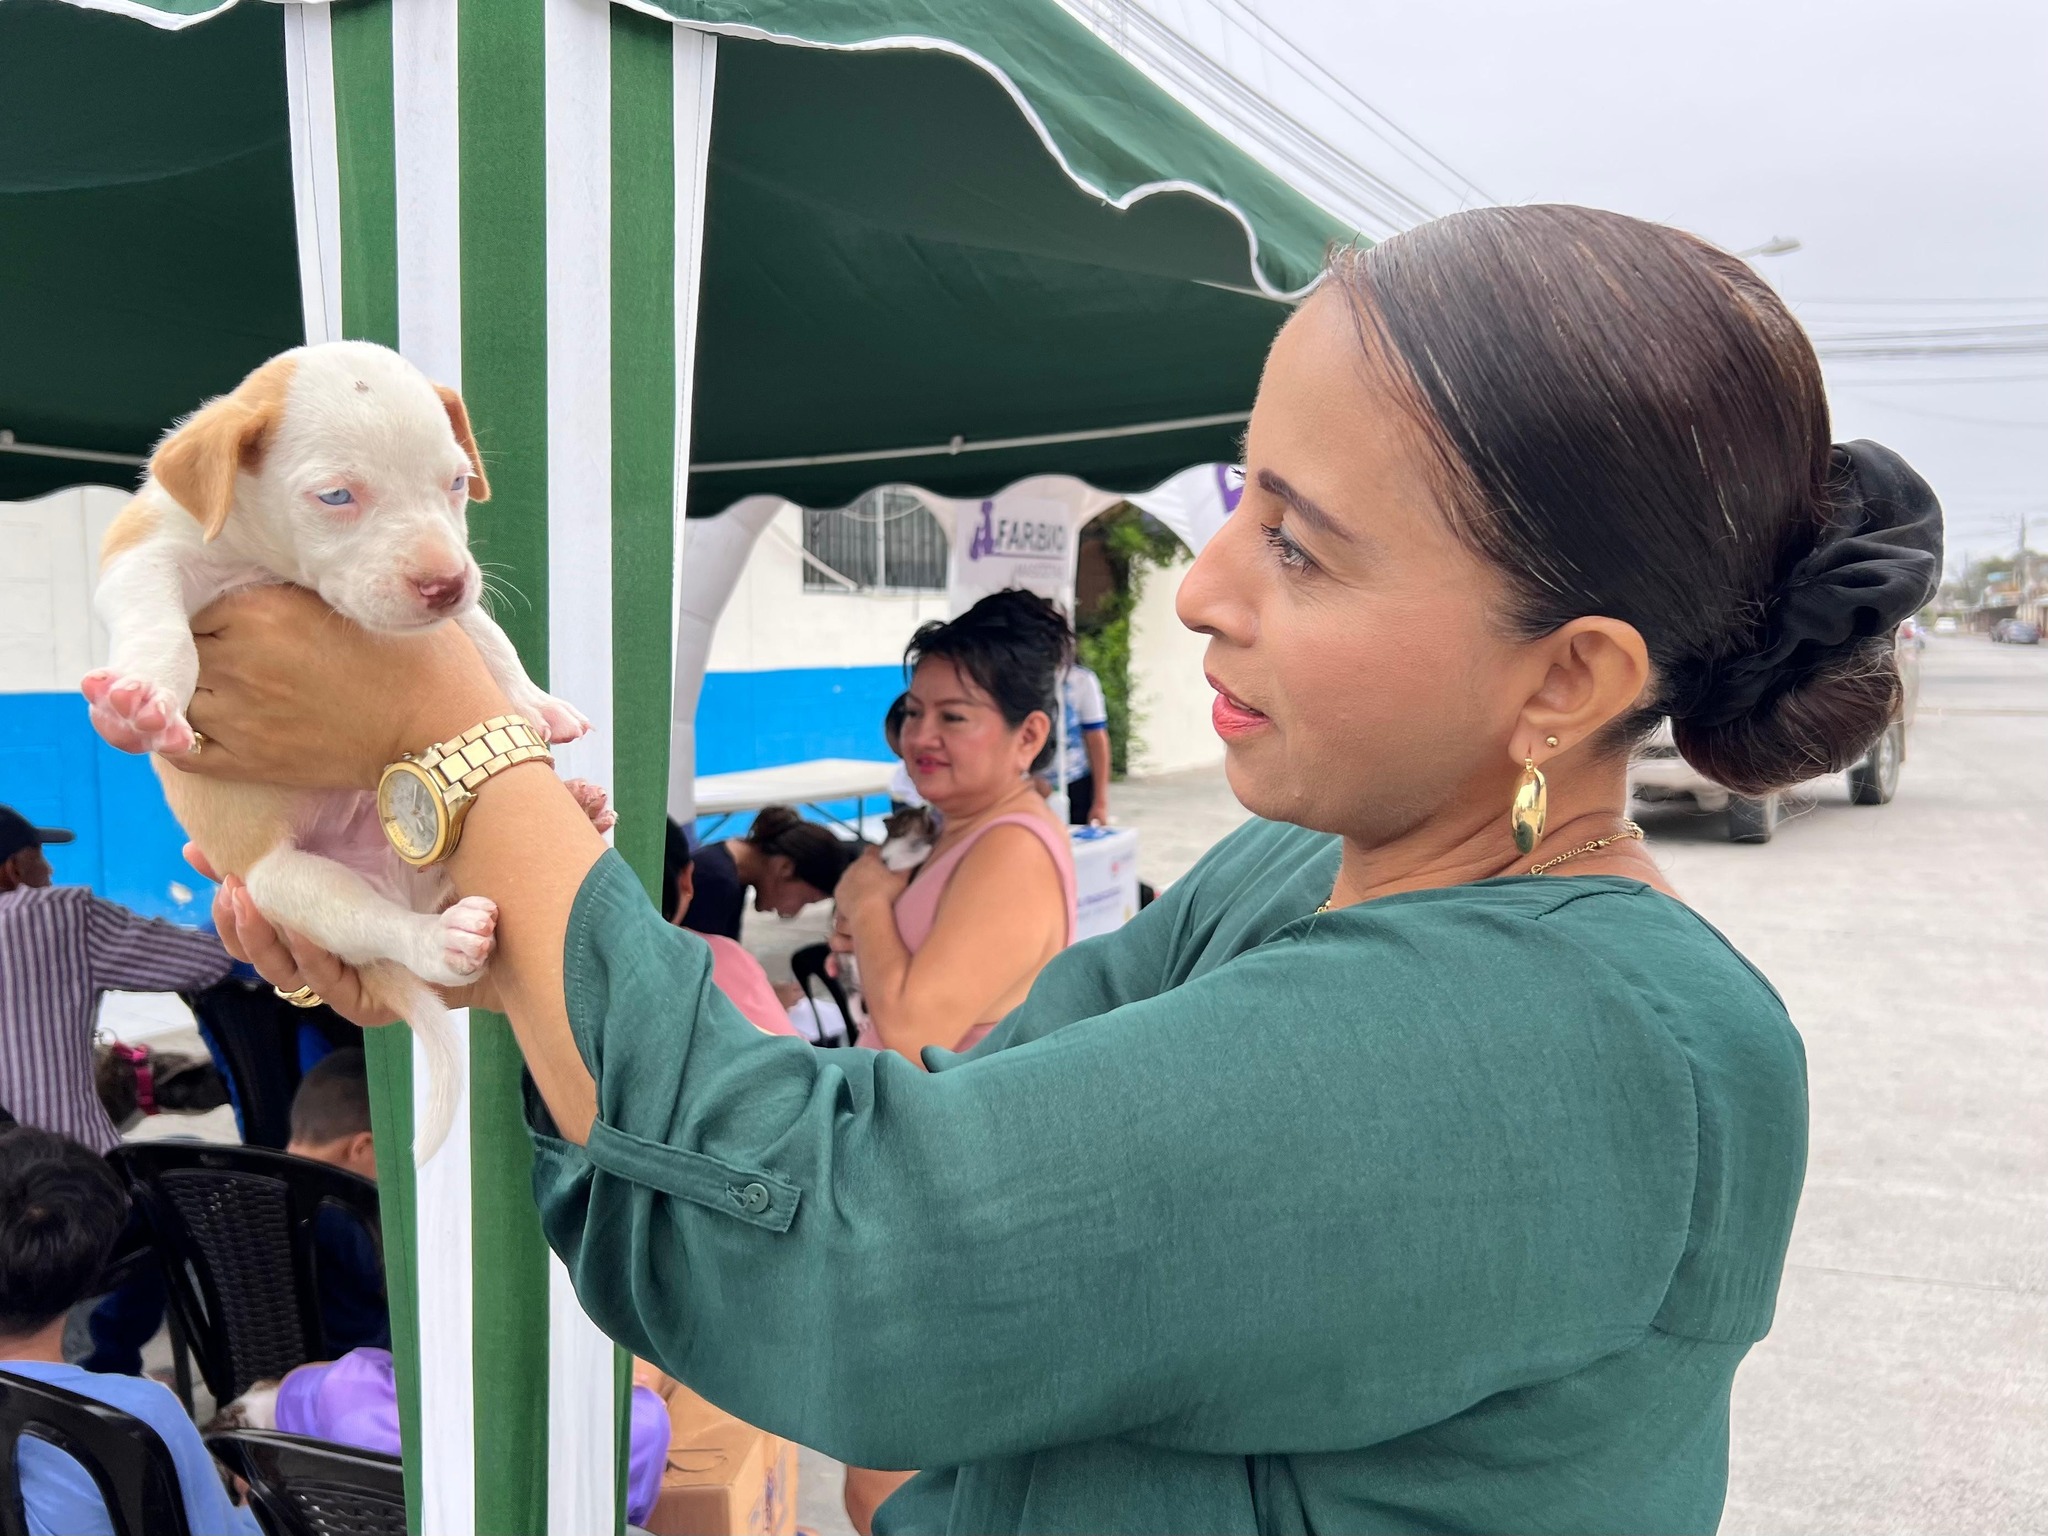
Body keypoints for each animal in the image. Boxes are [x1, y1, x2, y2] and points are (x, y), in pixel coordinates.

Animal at [81, 342, 606, 1161]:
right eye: (336, 496)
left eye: (457, 482)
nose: (445, 583)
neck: (264, 559)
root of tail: (397, 882)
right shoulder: (142, 555)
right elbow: (156, 622)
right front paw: (141, 699)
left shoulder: (460, 611)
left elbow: (488, 638)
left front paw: (535, 701)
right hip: (292, 885)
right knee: (388, 927)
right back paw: (441, 938)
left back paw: (580, 805)